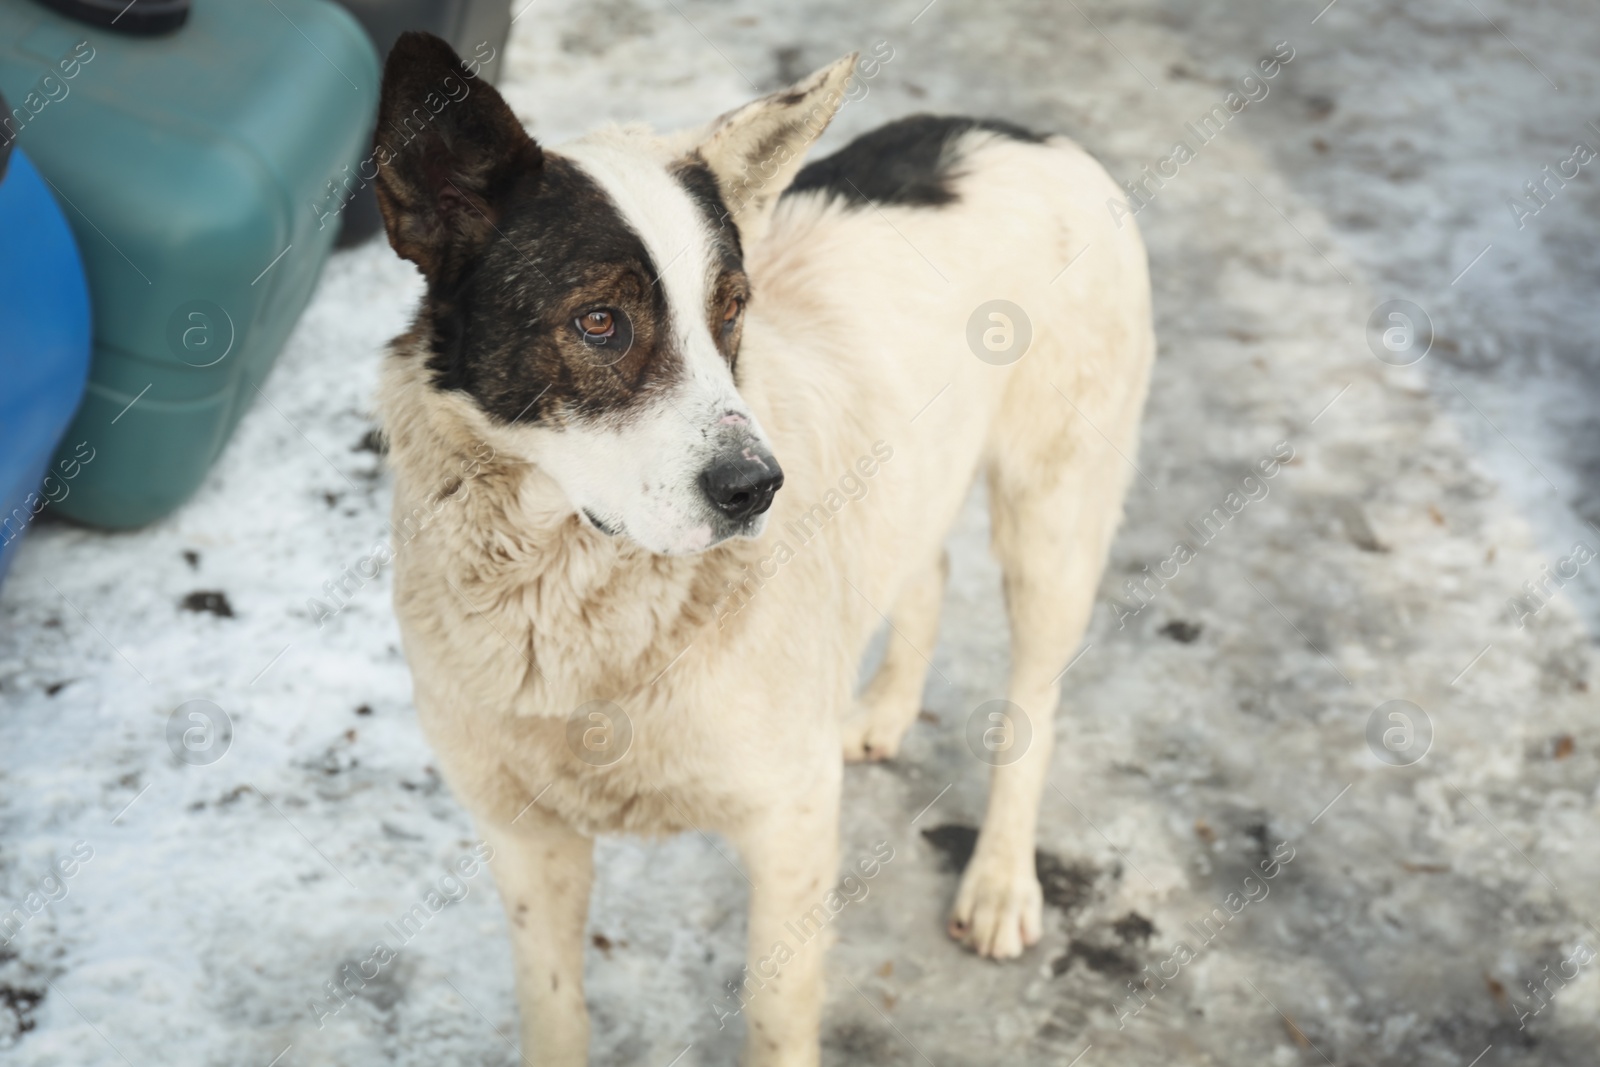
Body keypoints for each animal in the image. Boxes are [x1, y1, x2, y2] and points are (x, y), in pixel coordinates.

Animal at [374, 33, 1152, 1067]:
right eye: (598, 321)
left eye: (733, 311)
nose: (757, 488)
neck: (574, 599)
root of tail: (1034, 134)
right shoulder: (524, 837)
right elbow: (554, 1010)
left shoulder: (791, 821)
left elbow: (775, 1014)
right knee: (926, 565)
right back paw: (882, 709)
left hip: (1053, 514)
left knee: (1037, 696)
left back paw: (998, 883)